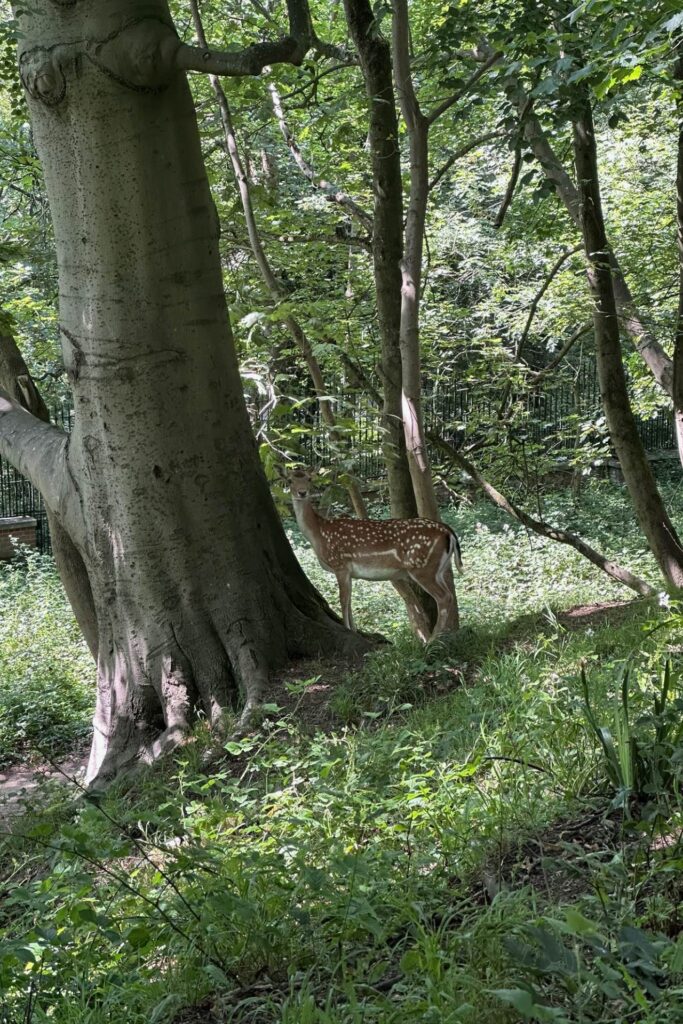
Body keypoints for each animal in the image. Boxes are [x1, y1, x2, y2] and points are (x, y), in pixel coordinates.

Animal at [286, 468, 462, 641]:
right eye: (290, 480)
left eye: (309, 479)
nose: (302, 492)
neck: (319, 534)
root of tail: (449, 532)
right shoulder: (349, 571)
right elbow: (349, 599)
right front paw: (355, 630)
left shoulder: (339, 563)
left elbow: (343, 599)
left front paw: (347, 630)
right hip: (438, 569)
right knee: (450, 595)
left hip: (422, 567)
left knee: (444, 597)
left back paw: (432, 640)